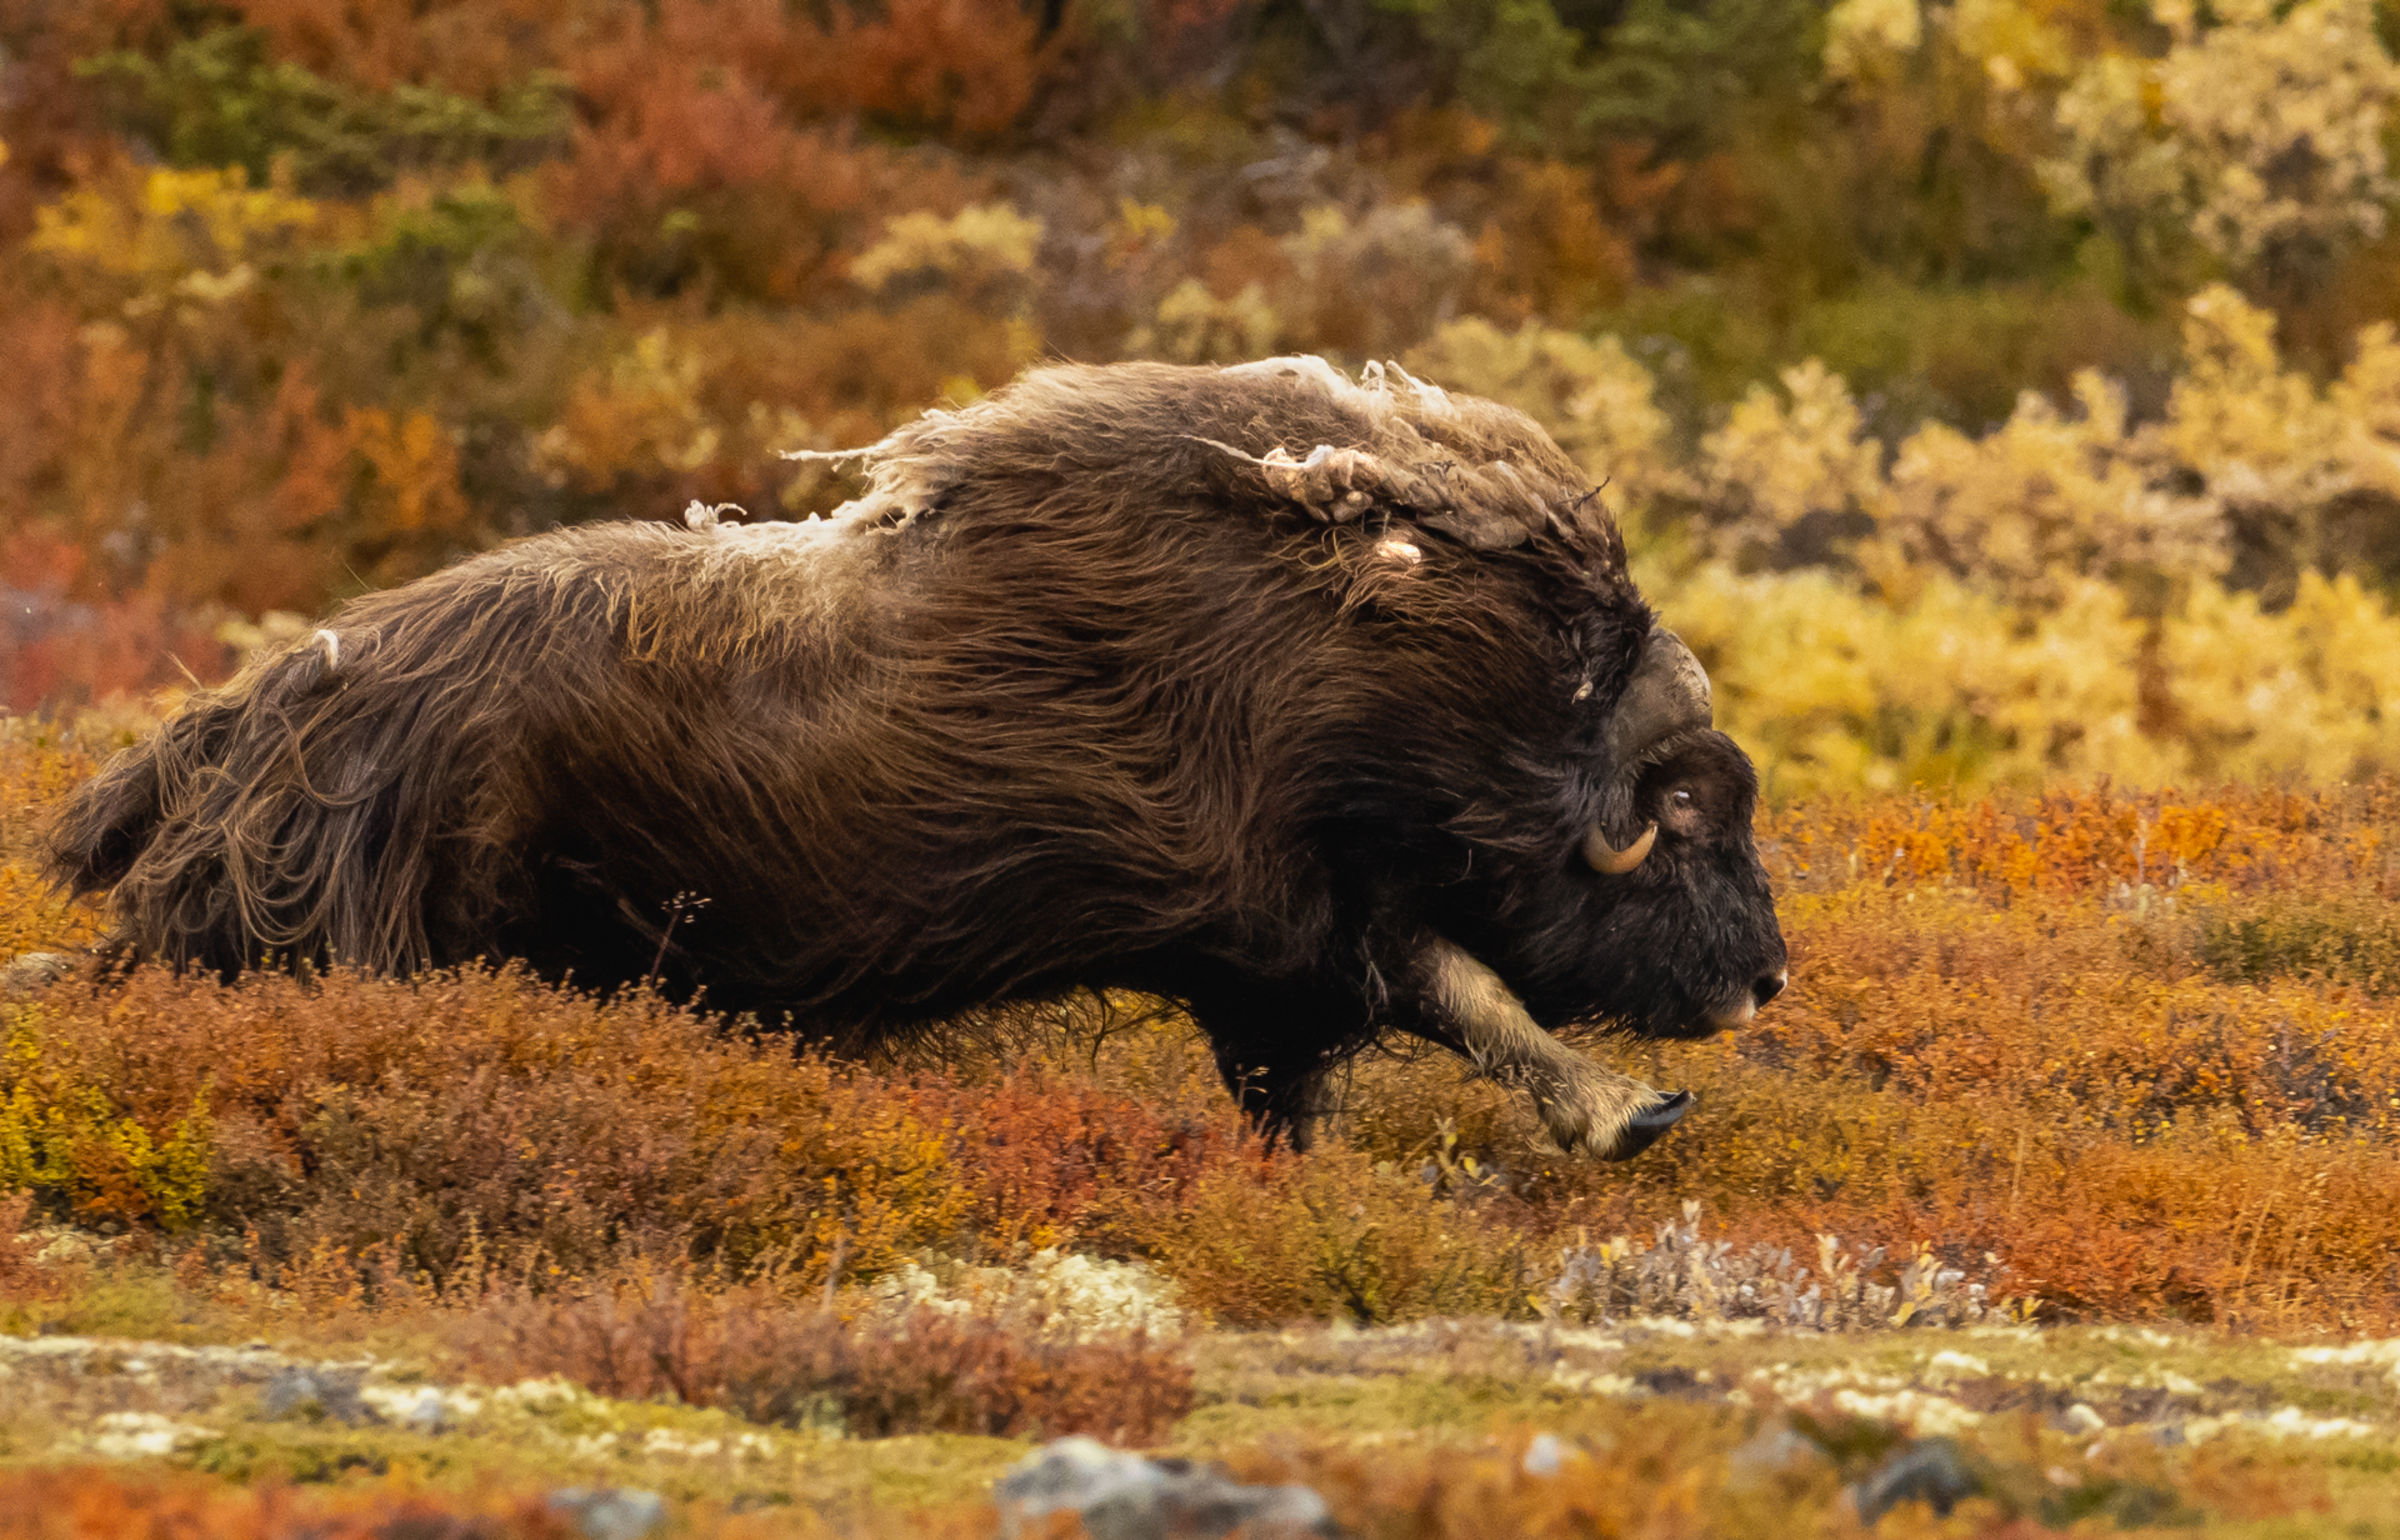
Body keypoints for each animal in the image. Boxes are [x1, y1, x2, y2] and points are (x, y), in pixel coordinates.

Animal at [37, 357, 1787, 1158]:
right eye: (1692, 809)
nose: (1767, 979)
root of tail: (275, 701)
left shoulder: (1285, 942)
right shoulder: (1290, 913)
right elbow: (1458, 992)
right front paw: (1630, 1113)